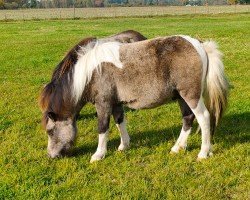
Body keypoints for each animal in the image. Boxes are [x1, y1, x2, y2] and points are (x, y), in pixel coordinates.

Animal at [39, 32, 229, 162]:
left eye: (50, 131)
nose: (51, 156)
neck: (90, 72)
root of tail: (199, 45)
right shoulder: (116, 104)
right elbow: (119, 122)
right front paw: (124, 146)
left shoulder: (103, 104)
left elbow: (102, 127)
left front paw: (98, 154)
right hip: (181, 97)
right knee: (188, 119)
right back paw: (177, 147)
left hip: (191, 96)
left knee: (203, 118)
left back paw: (203, 152)